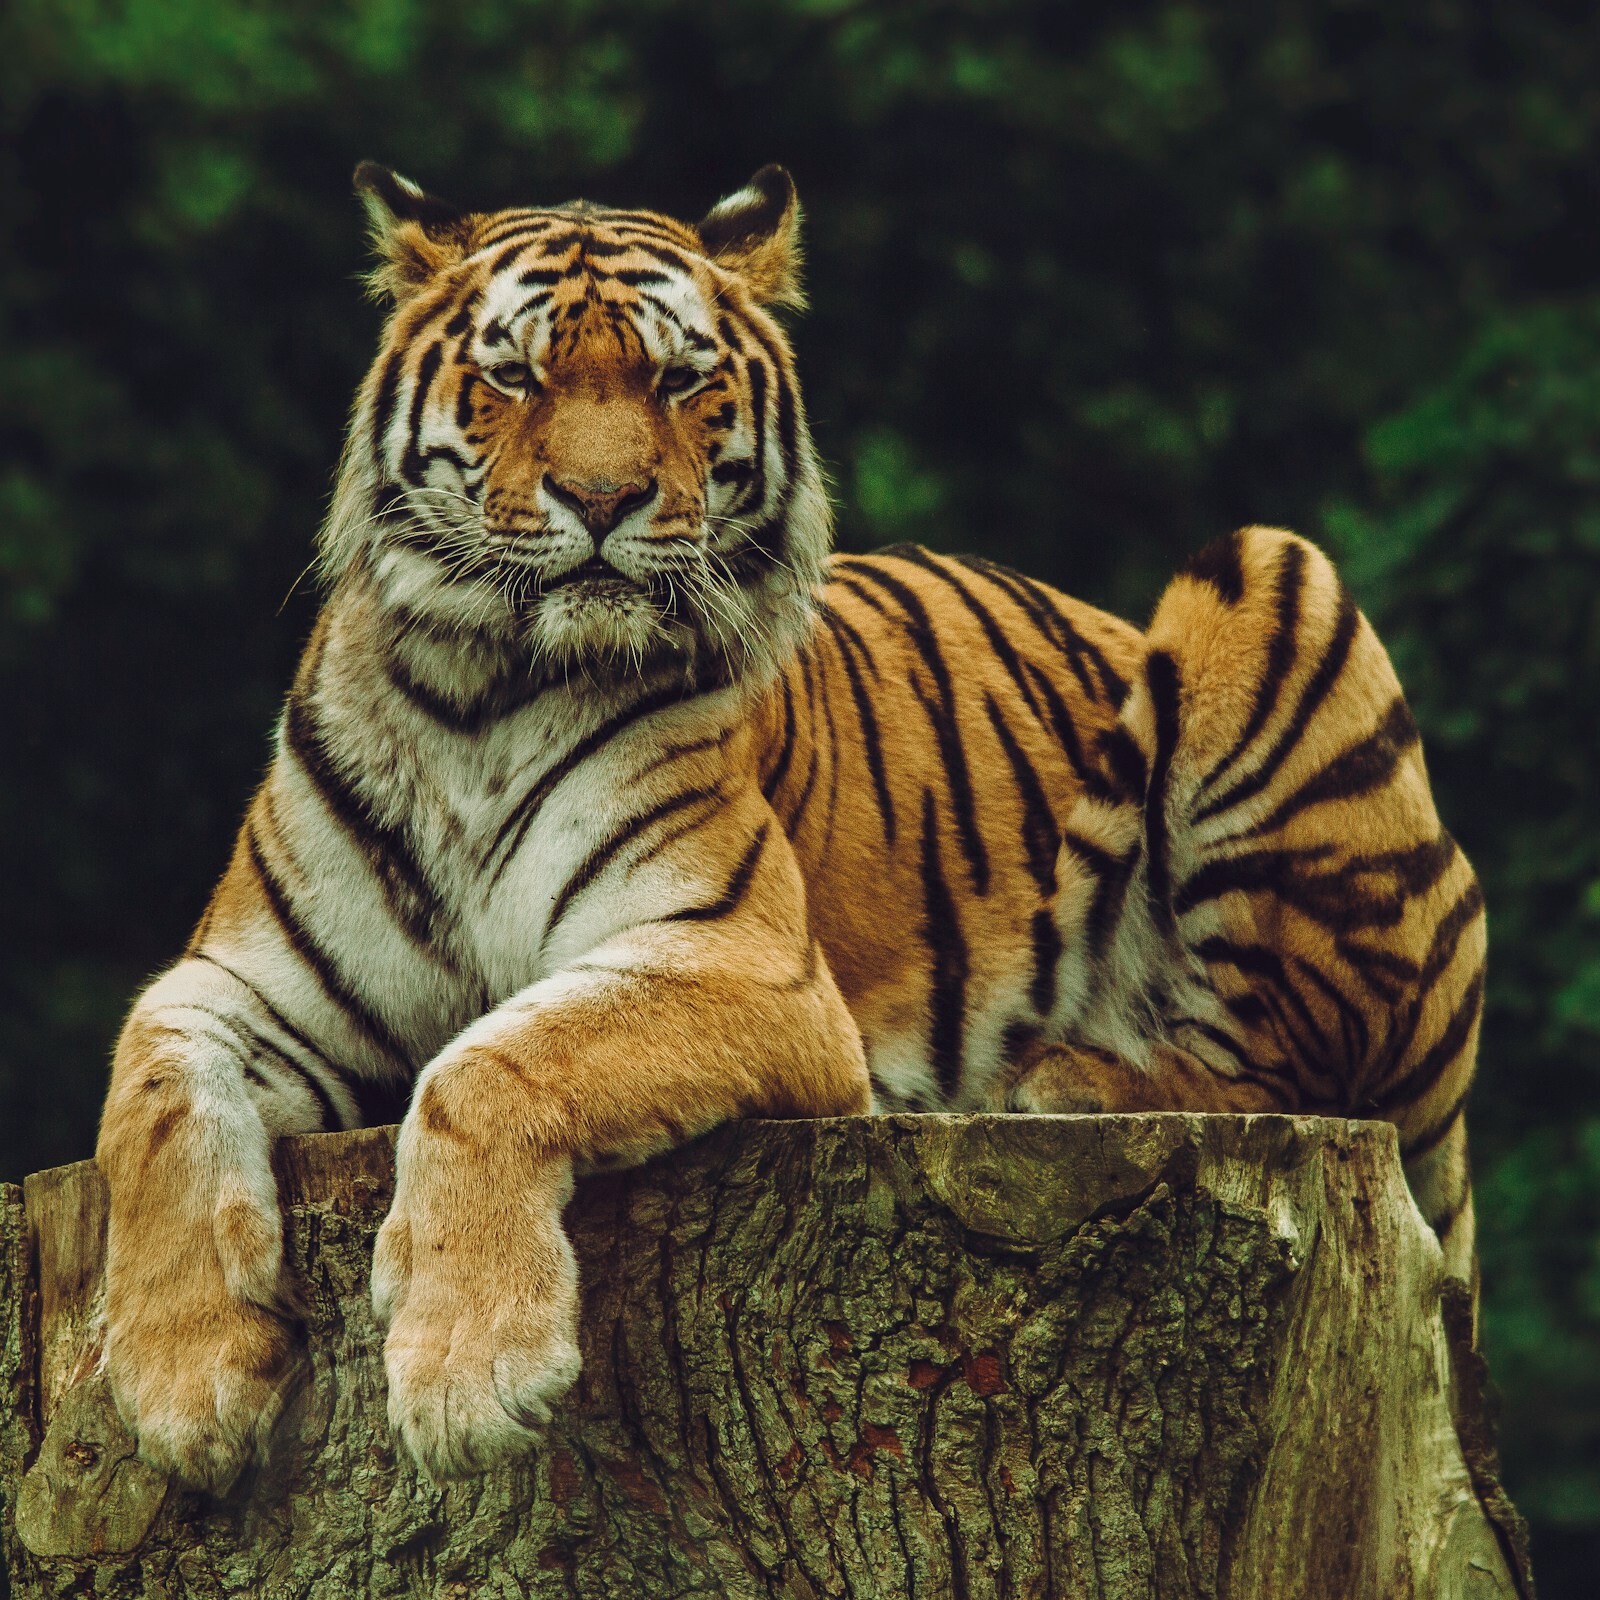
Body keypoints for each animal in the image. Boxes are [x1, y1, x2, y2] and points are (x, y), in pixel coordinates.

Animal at [96, 162, 1486, 1490]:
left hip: (1272, 575)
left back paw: (1070, 1075)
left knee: (1297, 1062)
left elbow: (488, 1064)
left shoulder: (740, 958)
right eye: (515, 374)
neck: (478, 695)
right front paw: (183, 1387)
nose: (601, 497)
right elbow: (151, 1102)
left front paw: (468, 1376)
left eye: (677, 378)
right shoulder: (245, 980)